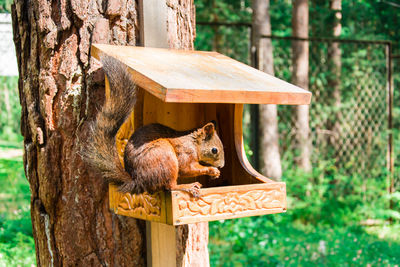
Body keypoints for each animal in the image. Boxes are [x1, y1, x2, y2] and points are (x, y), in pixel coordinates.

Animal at [83, 56, 225, 198]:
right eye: (214, 150)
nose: (222, 166)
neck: (194, 142)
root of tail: (138, 181)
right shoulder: (185, 152)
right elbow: (187, 168)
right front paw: (212, 170)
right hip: (164, 155)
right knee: (170, 186)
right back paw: (187, 186)